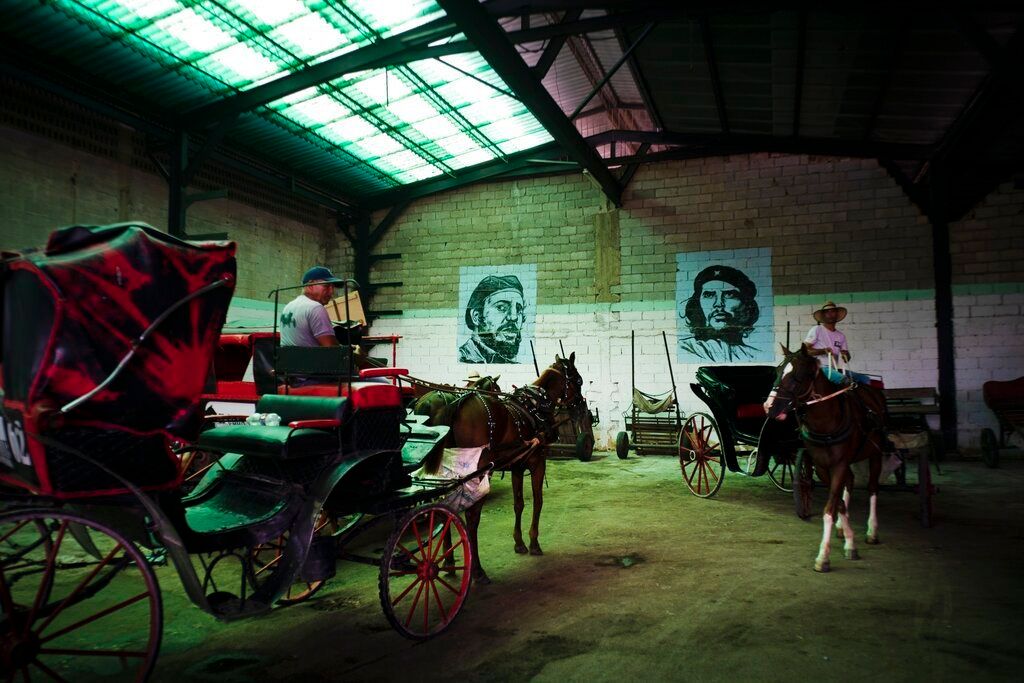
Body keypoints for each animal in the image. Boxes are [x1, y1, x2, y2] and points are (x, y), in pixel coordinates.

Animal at [419, 356, 581, 585]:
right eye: (578, 379)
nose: (581, 405)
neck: (535, 405)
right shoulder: (537, 462)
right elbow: (538, 501)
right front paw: (534, 542)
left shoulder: (518, 466)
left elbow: (518, 504)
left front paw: (519, 543)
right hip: (479, 473)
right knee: (472, 517)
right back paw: (477, 571)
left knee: (443, 511)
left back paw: (448, 563)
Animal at [770, 344, 888, 573]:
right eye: (778, 371)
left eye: (798, 375)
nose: (769, 408)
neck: (827, 421)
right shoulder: (822, 466)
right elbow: (838, 504)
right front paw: (849, 542)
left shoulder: (839, 465)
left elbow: (830, 508)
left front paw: (823, 557)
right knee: (850, 482)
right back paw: (843, 528)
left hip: (875, 453)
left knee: (872, 488)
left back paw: (872, 531)